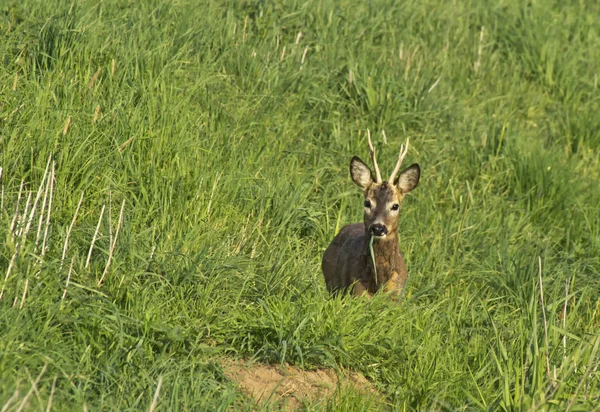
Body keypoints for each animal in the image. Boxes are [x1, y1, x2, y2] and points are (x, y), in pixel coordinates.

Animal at [322, 134, 420, 298]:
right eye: (367, 203)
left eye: (395, 206)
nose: (378, 228)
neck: (379, 281)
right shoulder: (357, 290)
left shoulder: (397, 294)